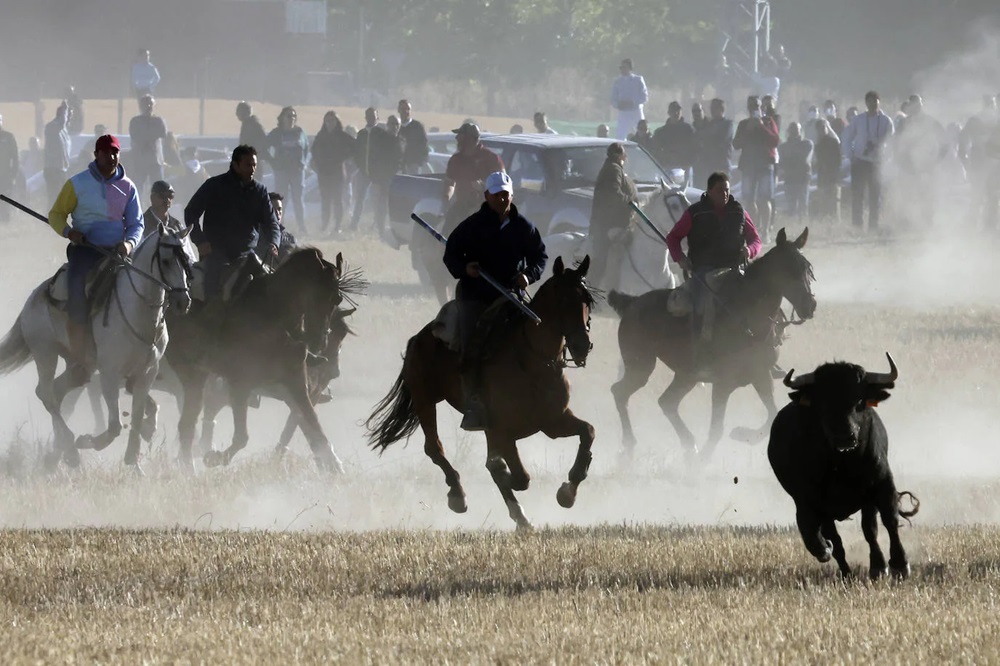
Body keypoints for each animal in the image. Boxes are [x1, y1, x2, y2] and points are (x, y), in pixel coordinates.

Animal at [0, 224, 196, 472]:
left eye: (188, 260)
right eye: (167, 260)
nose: (183, 302)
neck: (138, 313)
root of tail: (35, 297)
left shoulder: (146, 374)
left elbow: (139, 415)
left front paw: (135, 459)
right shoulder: (109, 374)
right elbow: (115, 426)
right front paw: (89, 441)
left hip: (78, 365)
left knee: (56, 391)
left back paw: (57, 454)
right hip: (45, 352)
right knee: (46, 393)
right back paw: (71, 449)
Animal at [168, 246, 364, 470]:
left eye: (336, 299)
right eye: (316, 293)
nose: (319, 342)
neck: (273, 320)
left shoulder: (297, 383)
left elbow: (313, 427)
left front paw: (333, 466)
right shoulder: (240, 382)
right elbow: (242, 437)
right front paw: (214, 457)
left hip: (200, 375)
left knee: (188, 423)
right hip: (190, 373)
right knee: (189, 422)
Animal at [372, 255, 596, 528]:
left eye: (588, 300)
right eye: (562, 300)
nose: (582, 346)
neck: (534, 361)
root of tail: (419, 337)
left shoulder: (553, 422)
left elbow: (587, 432)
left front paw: (567, 493)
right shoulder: (502, 430)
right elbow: (518, 476)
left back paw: (521, 517)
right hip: (425, 400)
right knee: (434, 448)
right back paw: (459, 495)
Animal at [608, 226, 812, 460]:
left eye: (806, 267)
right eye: (786, 269)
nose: (809, 305)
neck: (747, 317)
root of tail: (631, 302)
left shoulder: (761, 375)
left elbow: (771, 414)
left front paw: (741, 434)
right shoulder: (723, 383)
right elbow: (717, 429)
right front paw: (703, 460)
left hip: (685, 375)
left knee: (666, 402)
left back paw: (689, 445)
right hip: (640, 365)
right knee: (620, 392)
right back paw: (630, 446)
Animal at [764, 352, 920, 576]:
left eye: (859, 399)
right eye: (823, 402)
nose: (845, 437)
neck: (842, 463)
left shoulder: (880, 483)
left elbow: (886, 521)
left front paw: (896, 565)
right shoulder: (810, 499)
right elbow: (820, 537)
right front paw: (825, 549)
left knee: (869, 528)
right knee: (835, 540)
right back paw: (845, 571)